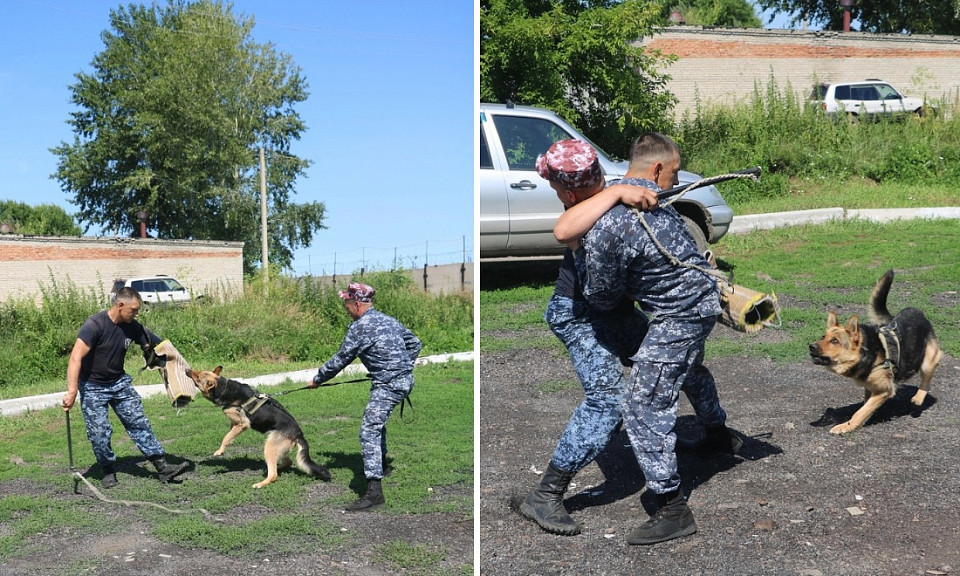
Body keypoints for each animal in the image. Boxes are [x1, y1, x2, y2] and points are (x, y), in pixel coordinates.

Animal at [188, 364, 334, 486]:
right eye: (199, 372)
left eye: (197, 377)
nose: (187, 370)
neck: (223, 387)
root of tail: (299, 434)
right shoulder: (235, 424)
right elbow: (230, 435)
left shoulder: (243, 424)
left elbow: (226, 437)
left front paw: (219, 451)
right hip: (277, 447)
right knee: (287, 462)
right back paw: (276, 467)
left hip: (269, 446)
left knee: (274, 475)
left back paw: (261, 483)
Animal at [808, 272, 940, 434]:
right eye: (823, 337)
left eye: (834, 341)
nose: (811, 346)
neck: (866, 352)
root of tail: (916, 311)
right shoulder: (870, 387)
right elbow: (866, 406)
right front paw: (864, 420)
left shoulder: (884, 390)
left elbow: (860, 411)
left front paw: (846, 426)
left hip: (928, 361)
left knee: (926, 380)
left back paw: (919, 398)